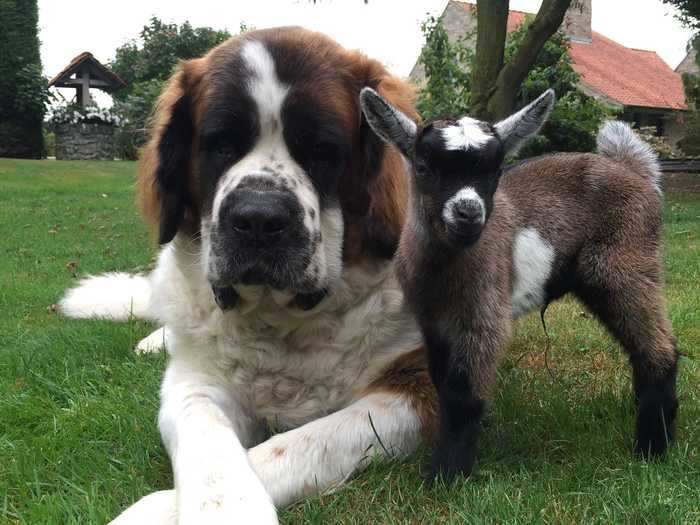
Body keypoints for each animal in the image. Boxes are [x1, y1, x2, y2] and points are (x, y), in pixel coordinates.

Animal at [60, 27, 434, 520]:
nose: (258, 217)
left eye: (322, 151)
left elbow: (311, 439)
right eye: (220, 146)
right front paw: (221, 508)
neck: (283, 323)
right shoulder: (194, 383)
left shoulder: (420, 387)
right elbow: (207, 436)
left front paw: (158, 510)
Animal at [360, 89, 680, 478]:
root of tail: (634, 169)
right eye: (423, 167)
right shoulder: (432, 320)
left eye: (496, 171)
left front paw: (447, 475)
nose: (468, 214)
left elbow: (463, 394)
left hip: (624, 262)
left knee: (659, 347)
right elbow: (441, 381)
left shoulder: (484, 314)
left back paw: (652, 448)